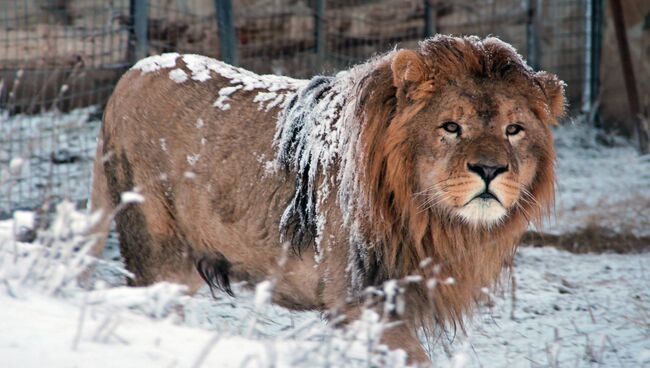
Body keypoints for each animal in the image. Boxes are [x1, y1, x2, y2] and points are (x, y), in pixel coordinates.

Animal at [90, 36, 560, 364]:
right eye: (450, 127)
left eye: (514, 130)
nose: (489, 170)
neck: (431, 222)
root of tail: (133, 74)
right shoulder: (358, 297)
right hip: (158, 255)